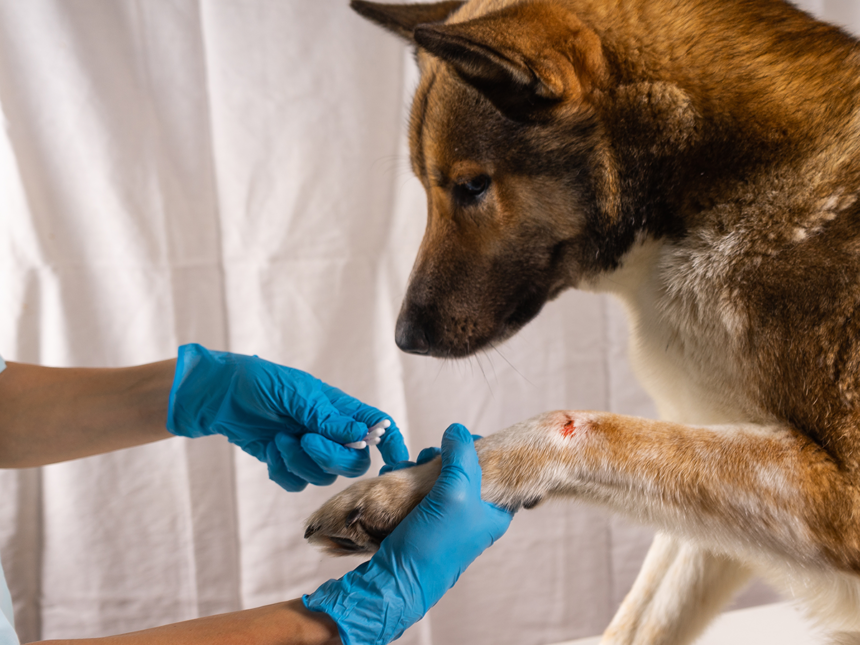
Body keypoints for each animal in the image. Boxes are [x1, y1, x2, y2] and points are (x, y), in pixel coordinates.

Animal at [306, 2, 860, 640]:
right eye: (426, 186)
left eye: (472, 186)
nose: (405, 338)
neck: (718, 185)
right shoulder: (723, 493)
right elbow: (637, 618)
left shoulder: (836, 494)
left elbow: (578, 426)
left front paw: (409, 491)